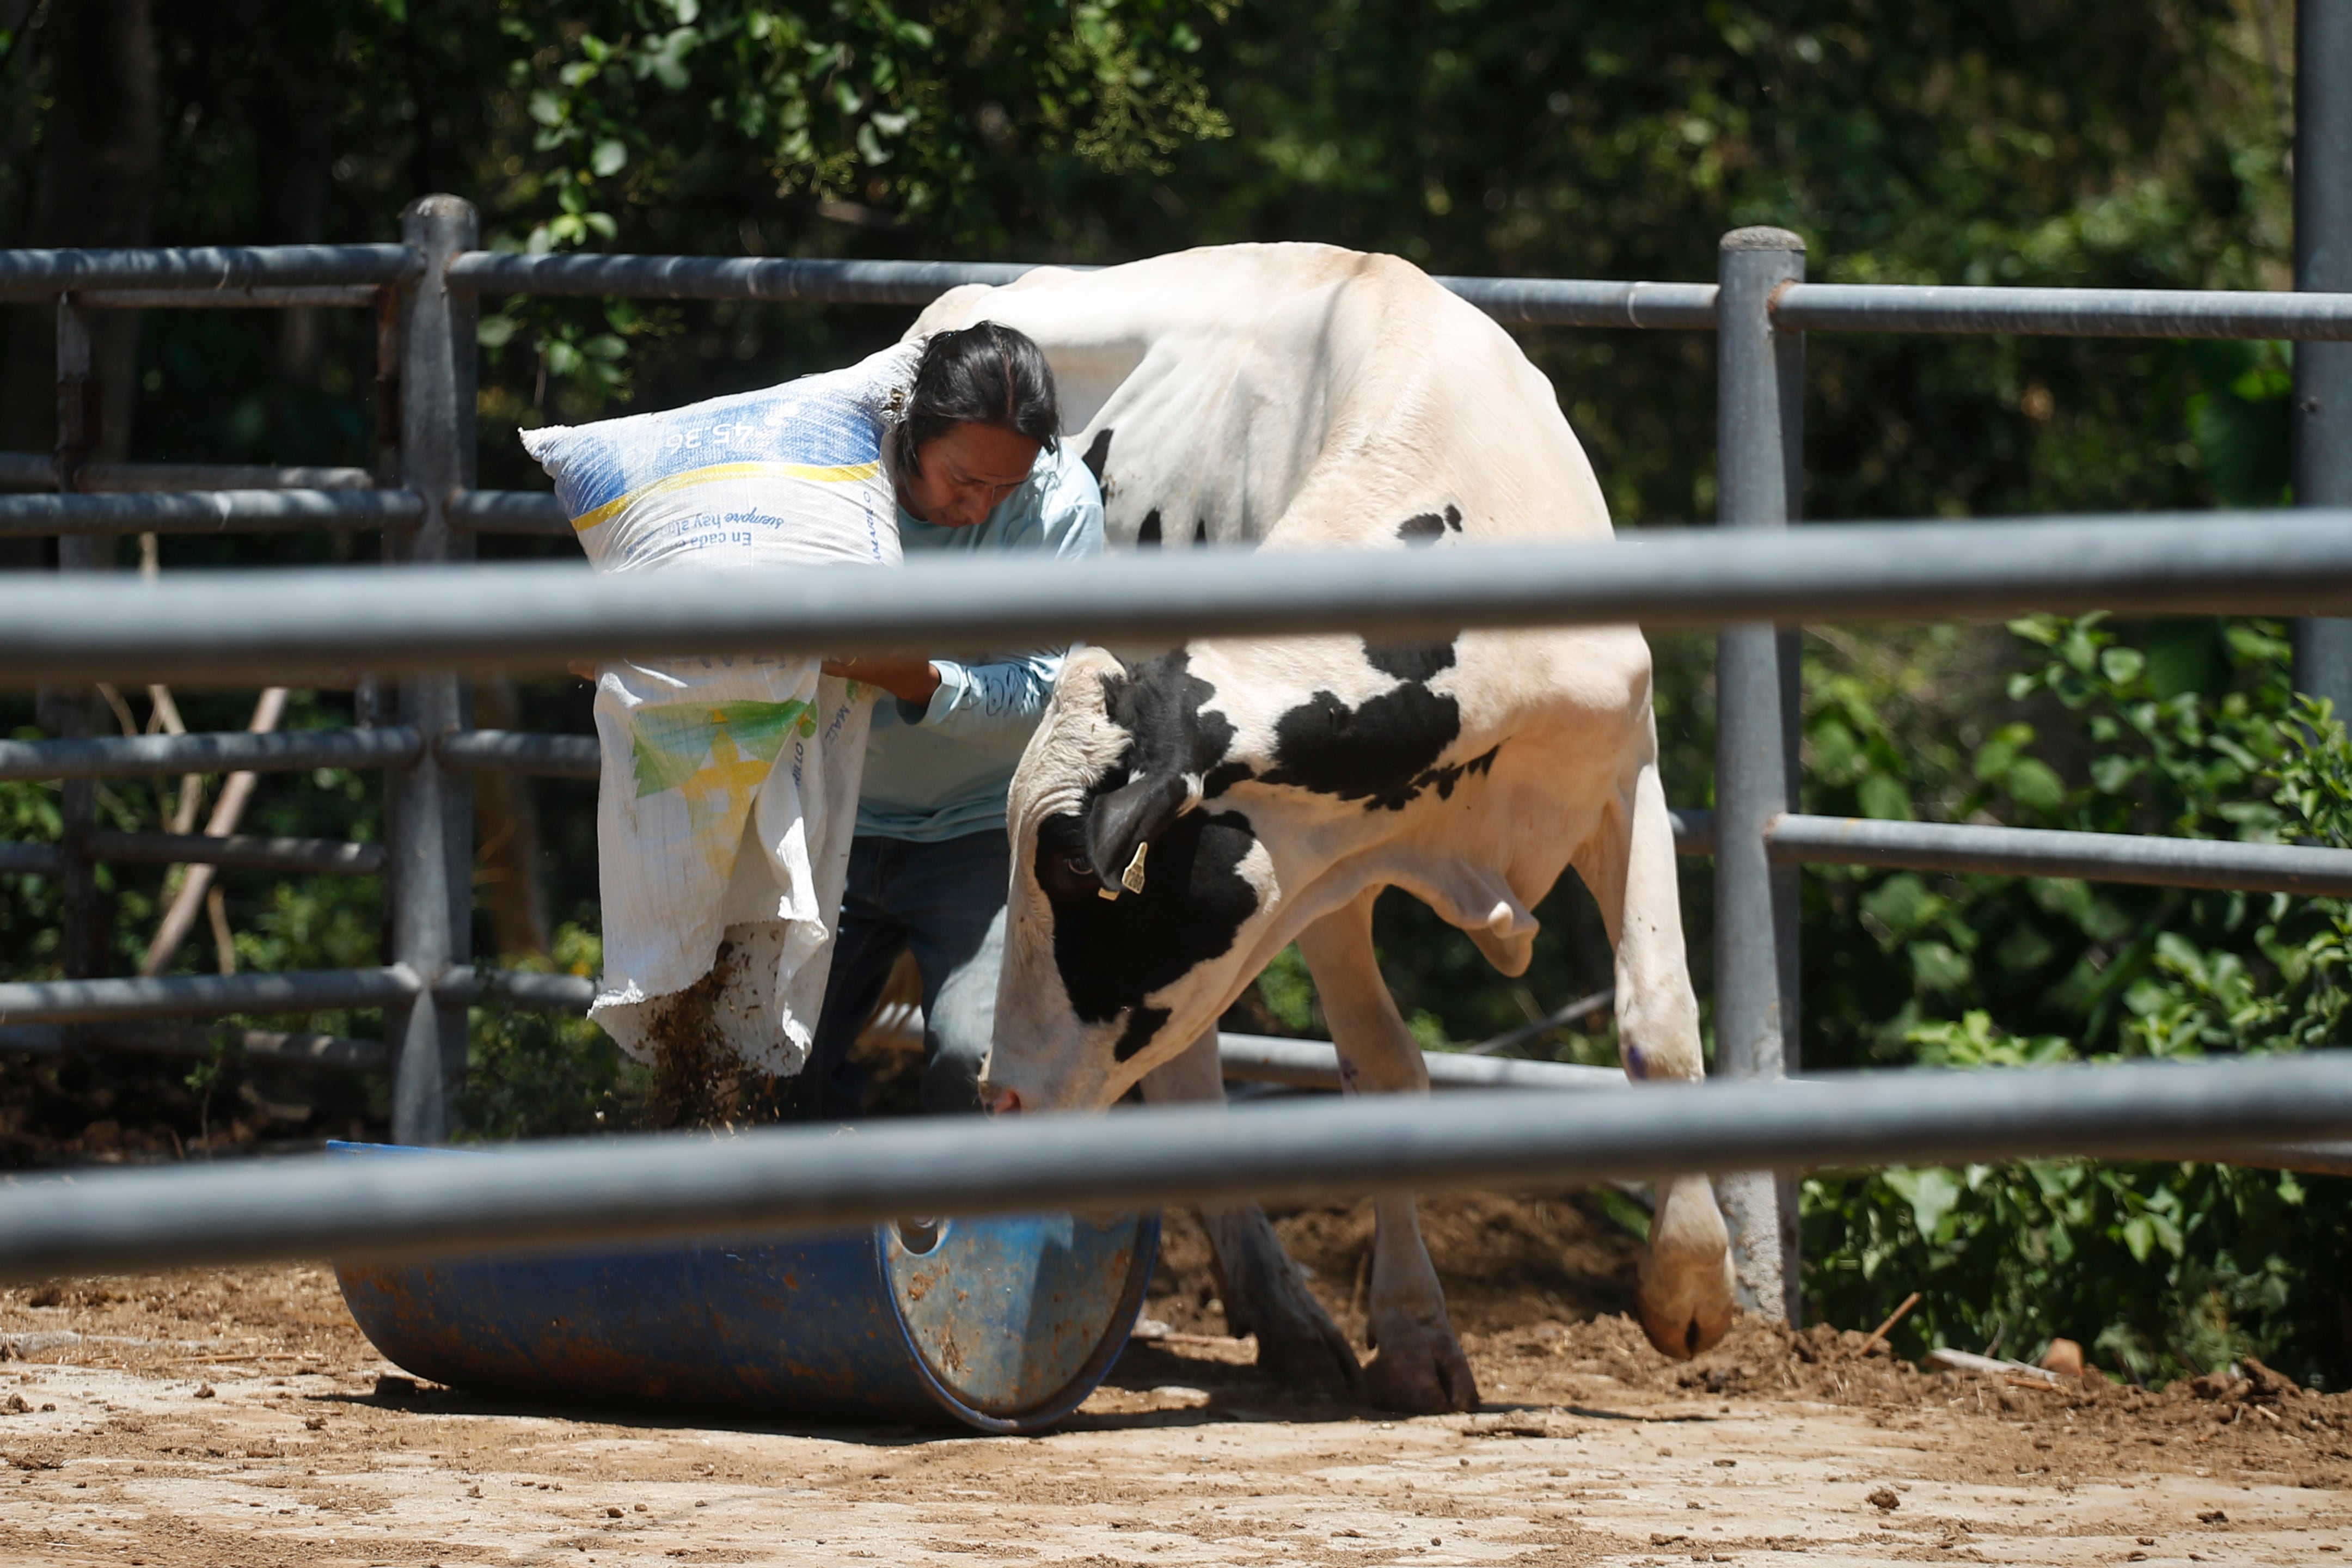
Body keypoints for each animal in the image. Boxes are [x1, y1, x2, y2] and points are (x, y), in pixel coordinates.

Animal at [906, 244, 1736, 1414]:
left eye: (1073, 872)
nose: (1005, 1094)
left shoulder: (1628, 771)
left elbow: (1660, 1024)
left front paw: (1690, 1289)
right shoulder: (1321, 867)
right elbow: (1383, 1071)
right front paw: (1418, 1335)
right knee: (1188, 1075)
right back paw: (1288, 1312)